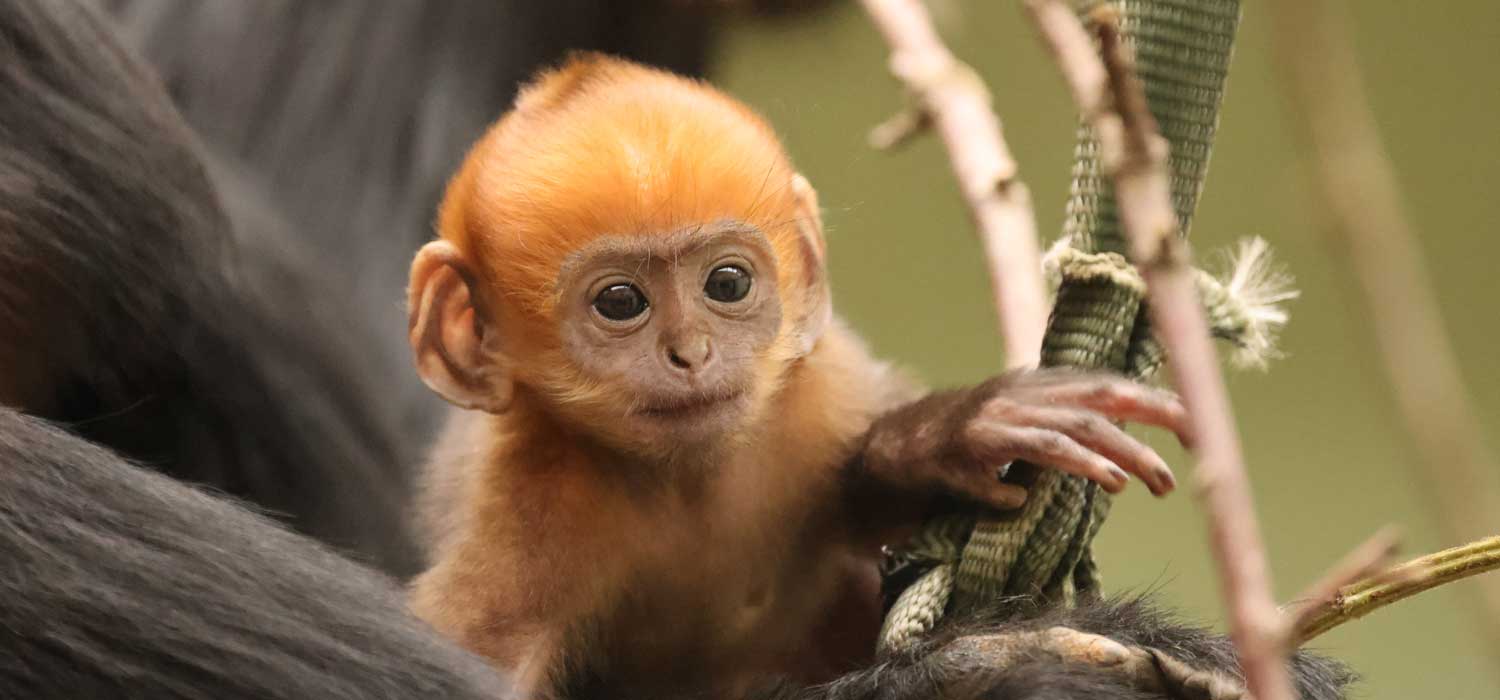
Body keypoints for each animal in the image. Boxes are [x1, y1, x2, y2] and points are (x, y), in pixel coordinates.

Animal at [408, 56, 1182, 700]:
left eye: (727, 283)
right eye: (621, 302)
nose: (690, 353)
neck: (687, 481)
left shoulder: (821, 386)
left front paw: (952, 437)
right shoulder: (518, 516)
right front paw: (981, 669)